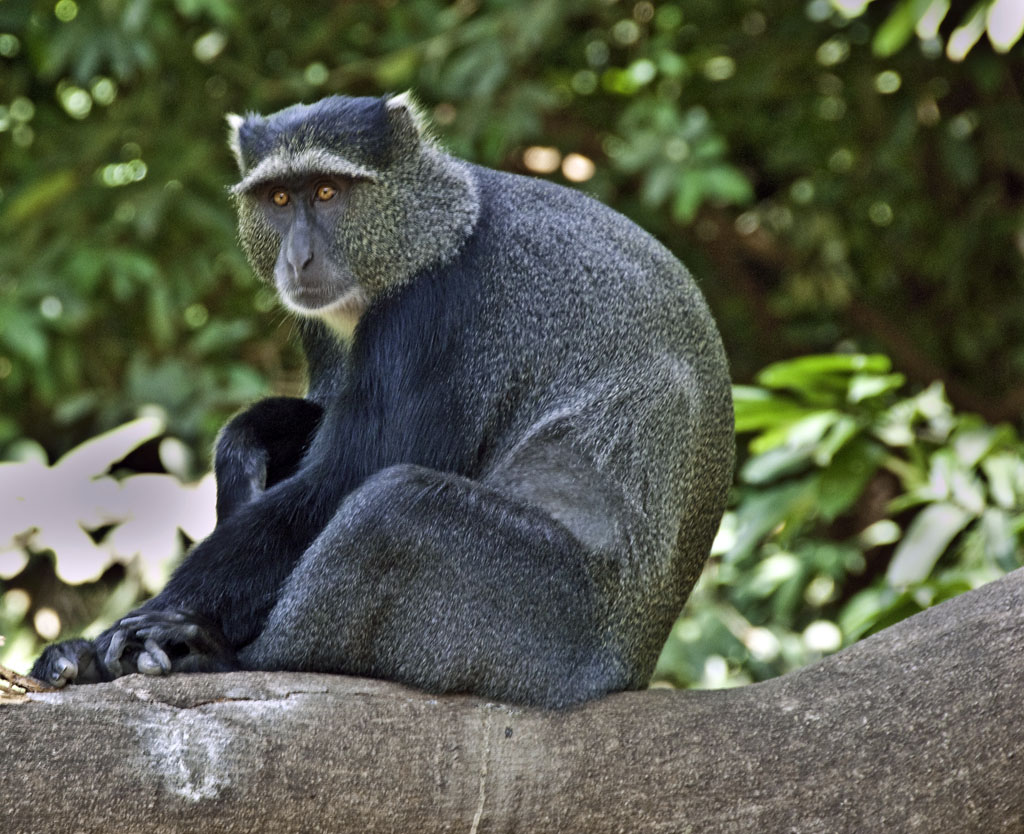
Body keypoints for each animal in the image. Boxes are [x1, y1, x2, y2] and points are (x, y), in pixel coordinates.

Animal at [31, 93, 734, 708]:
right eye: (279, 198)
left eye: (327, 192)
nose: (299, 257)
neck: (432, 227)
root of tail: (631, 664)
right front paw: (247, 439)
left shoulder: (432, 314)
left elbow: (348, 476)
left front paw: (118, 638)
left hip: (542, 626)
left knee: (393, 507)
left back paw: (221, 655)